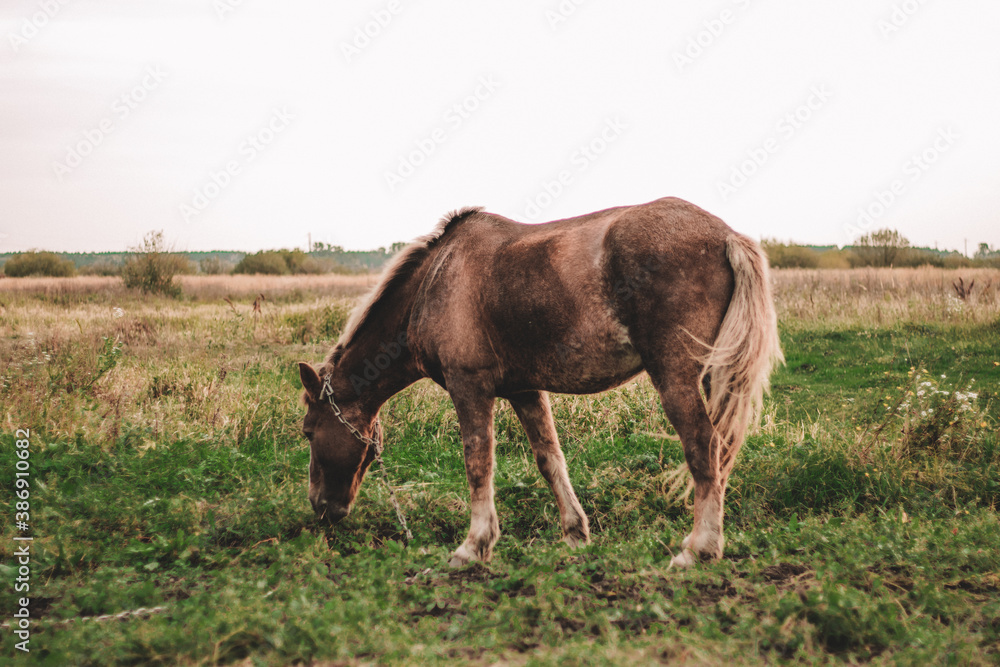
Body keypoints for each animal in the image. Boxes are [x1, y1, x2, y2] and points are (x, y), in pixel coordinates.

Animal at [296, 198, 780, 568]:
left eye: (308, 431)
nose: (320, 506)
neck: (435, 281)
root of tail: (726, 235)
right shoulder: (524, 391)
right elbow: (550, 460)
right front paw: (574, 534)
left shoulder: (469, 388)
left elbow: (478, 463)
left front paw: (474, 546)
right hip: (714, 377)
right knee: (719, 452)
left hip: (675, 375)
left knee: (702, 446)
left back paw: (699, 548)